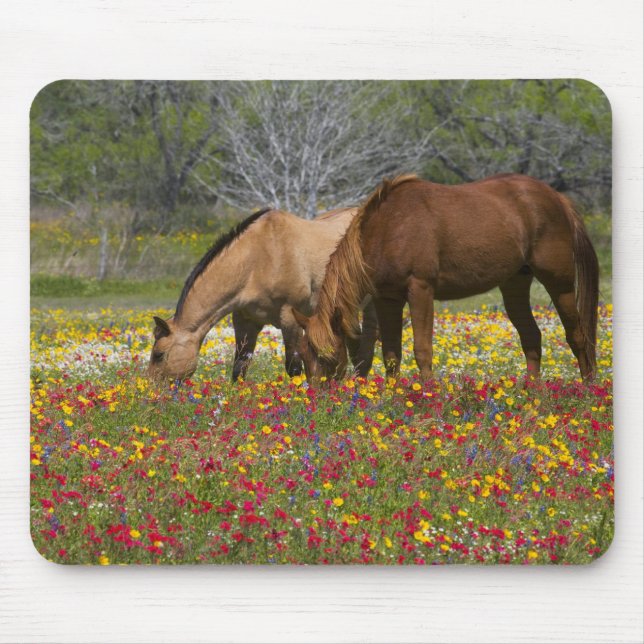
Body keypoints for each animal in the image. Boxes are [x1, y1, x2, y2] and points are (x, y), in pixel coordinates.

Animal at [148, 207, 378, 382]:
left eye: (158, 354)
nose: (153, 391)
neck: (259, 259)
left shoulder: (290, 318)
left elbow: (294, 367)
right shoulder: (245, 321)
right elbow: (240, 366)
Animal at [292, 173, 599, 382]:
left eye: (328, 356)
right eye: (304, 356)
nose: (318, 400)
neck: (389, 227)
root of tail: (557, 198)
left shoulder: (420, 290)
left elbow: (422, 350)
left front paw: (427, 397)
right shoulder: (387, 298)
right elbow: (391, 354)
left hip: (559, 283)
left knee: (577, 336)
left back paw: (587, 389)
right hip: (515, 284)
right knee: (532, 337)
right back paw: (532, 394)